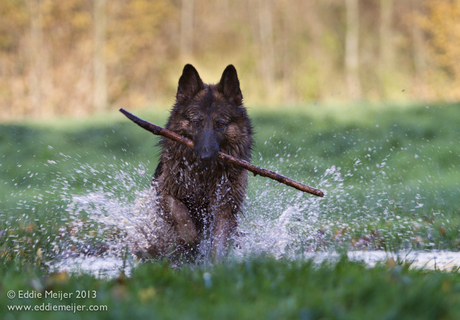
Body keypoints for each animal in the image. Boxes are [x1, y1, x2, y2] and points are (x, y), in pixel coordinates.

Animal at [150, 63, 252, 260]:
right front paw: (192, 239)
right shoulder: (164, 192)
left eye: (220, 124)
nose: (205, 156)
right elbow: (180, 213)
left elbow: (218, 241)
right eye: (196, 123)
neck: (203, 177)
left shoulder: (225, 206)